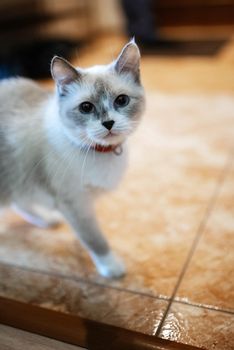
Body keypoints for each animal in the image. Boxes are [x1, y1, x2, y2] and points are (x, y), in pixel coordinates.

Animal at [0, 39, 145, 278]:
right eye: (86, 107)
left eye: (121, 100)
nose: (108, 123)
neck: (100, 153)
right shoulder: (75, 204)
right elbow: (94, 239)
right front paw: (111, 268)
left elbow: (86, 236)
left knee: (19, 202)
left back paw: (47, 219)